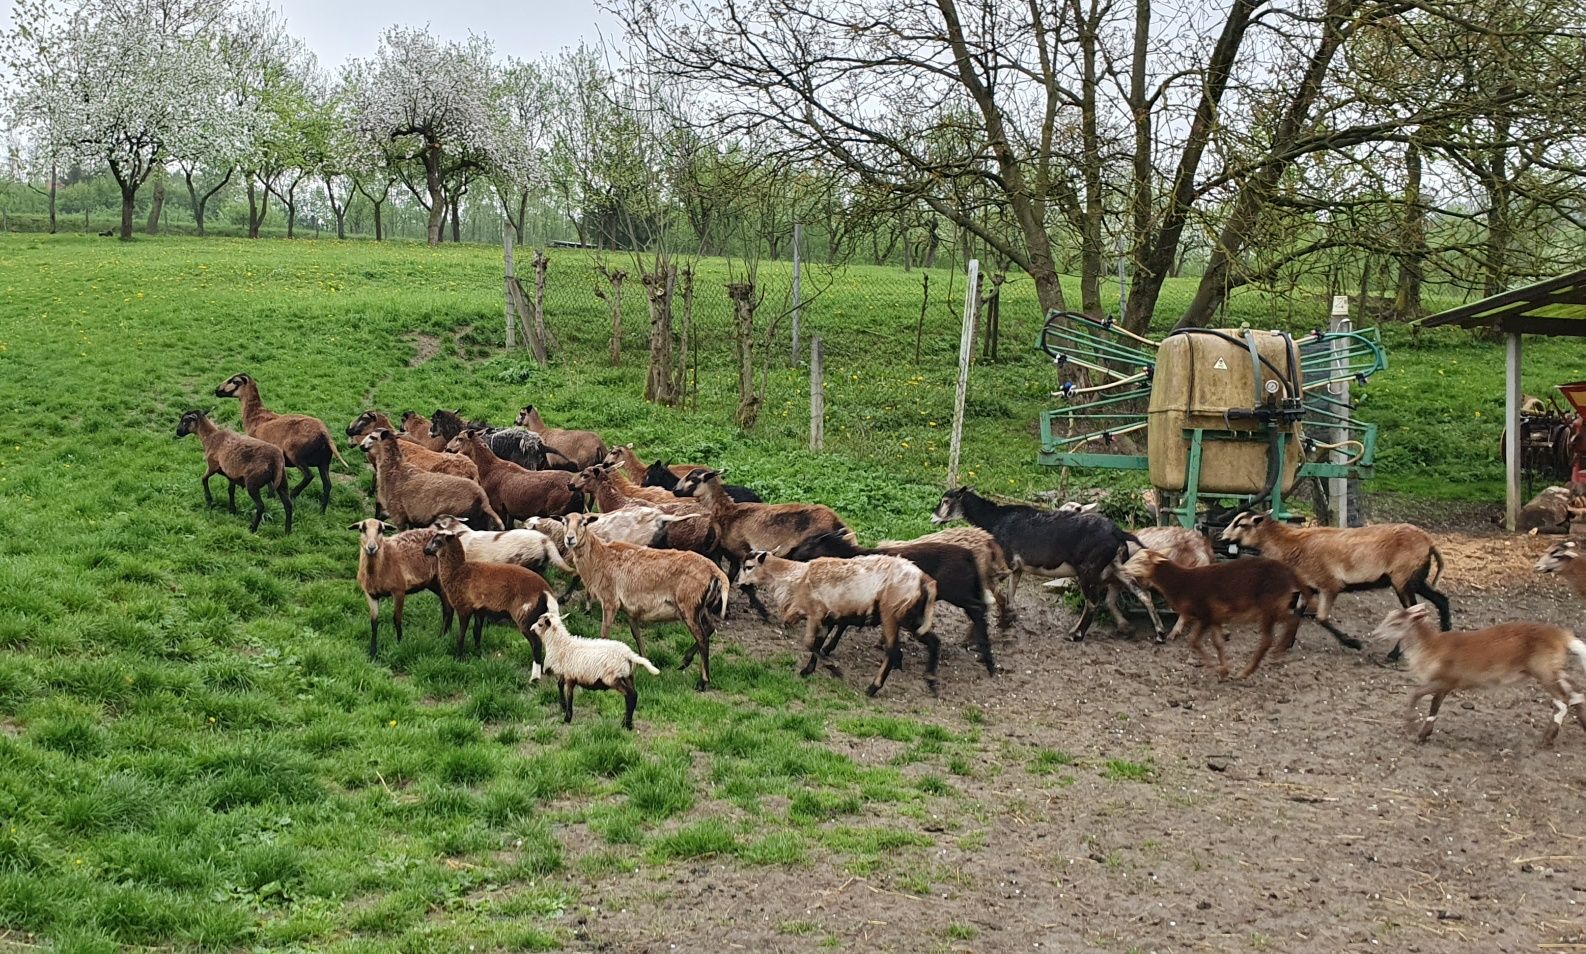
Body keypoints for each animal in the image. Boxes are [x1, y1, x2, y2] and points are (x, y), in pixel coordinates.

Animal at [214, 370, 344, 513]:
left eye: (234, 381)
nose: (216, 390)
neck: (255, 417)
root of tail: (324, 433)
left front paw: (271, 495)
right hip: (324, 461)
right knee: (327, 485)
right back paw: (321, 511)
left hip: (295, 454)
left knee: (309, 475)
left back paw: (294, 494)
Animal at [529, 608, 659, 728]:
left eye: (540, 624)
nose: (531, 629)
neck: (563, 646)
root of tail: (629, 654)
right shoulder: (565, 674)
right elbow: (560, 686)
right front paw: (563, 706)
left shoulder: (570, 677)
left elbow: (570, 696)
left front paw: (567, 718)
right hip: (628, 676)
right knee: (634, 695)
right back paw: (627, 723)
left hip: (613, 678)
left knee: (629, 695)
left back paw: (626, 724)